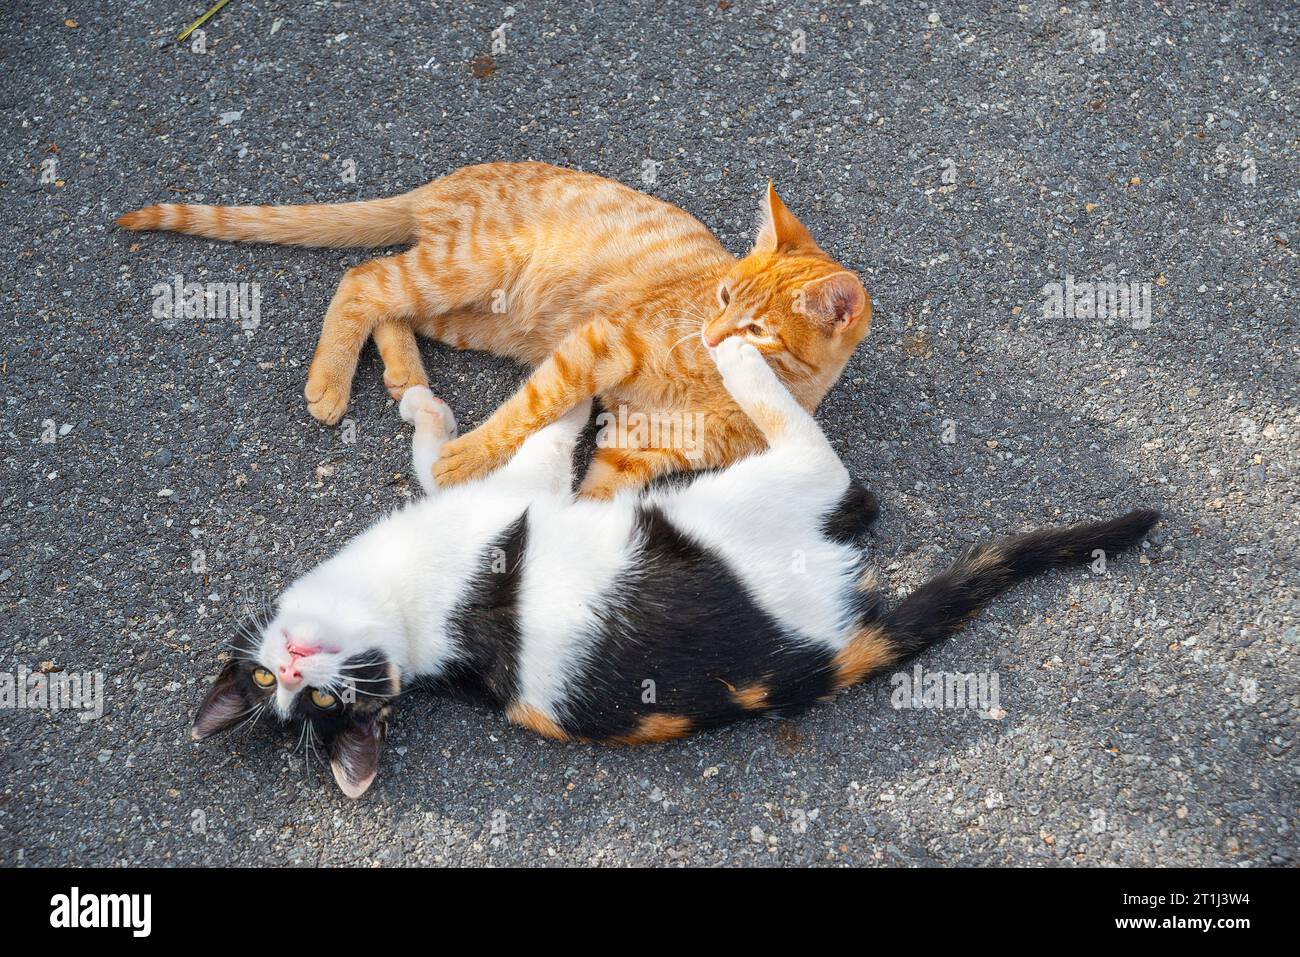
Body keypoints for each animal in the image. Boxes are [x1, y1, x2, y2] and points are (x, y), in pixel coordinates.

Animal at [119, 160, 873, 496]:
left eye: (755, 328)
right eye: (719, 297)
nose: (713, 337)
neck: (713, 389)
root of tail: (447, 180)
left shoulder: (635, 451)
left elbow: (595, 496)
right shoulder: (593, 347)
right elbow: (524, 413)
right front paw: (463, 459)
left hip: (478, 318)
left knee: (393, 307)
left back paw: (405, 376)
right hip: (468, 268)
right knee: (364, 278)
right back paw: (332, 383)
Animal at [189, 340, 1159, 795]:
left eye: (281, 685)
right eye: (316, 702)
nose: (301, 669)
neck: (413, 625)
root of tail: (815, 663)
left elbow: (448, 453)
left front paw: (423, 404)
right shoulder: (521, 491)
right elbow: (536, 433)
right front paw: (573, 386)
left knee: (859, 498)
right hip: (749, 499)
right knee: (838, 473)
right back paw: (737, 350)